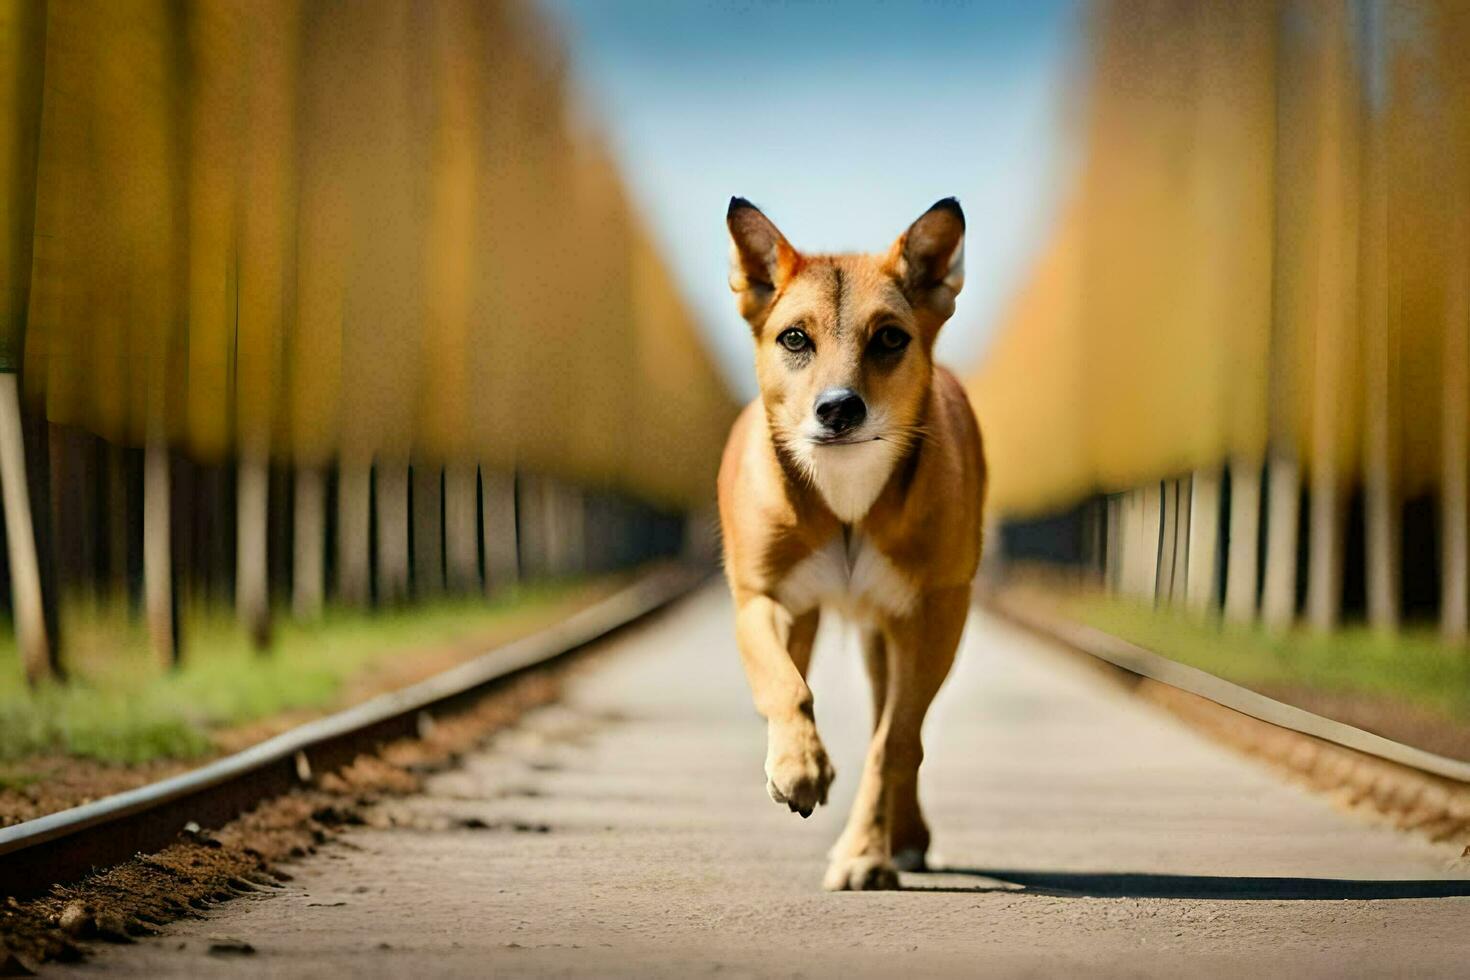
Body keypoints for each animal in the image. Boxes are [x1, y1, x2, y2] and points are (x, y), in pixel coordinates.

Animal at [714, 196, 981, 887]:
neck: (846, 492)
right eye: (794, 337)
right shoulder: (761, 598)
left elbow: (896, 740)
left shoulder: (937, 609)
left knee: (900, 728)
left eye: (889, 337)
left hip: (893, 631)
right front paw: (798, 768)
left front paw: (864, 851)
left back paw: (900, 838)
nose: (838, 408)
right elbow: (786, 686)